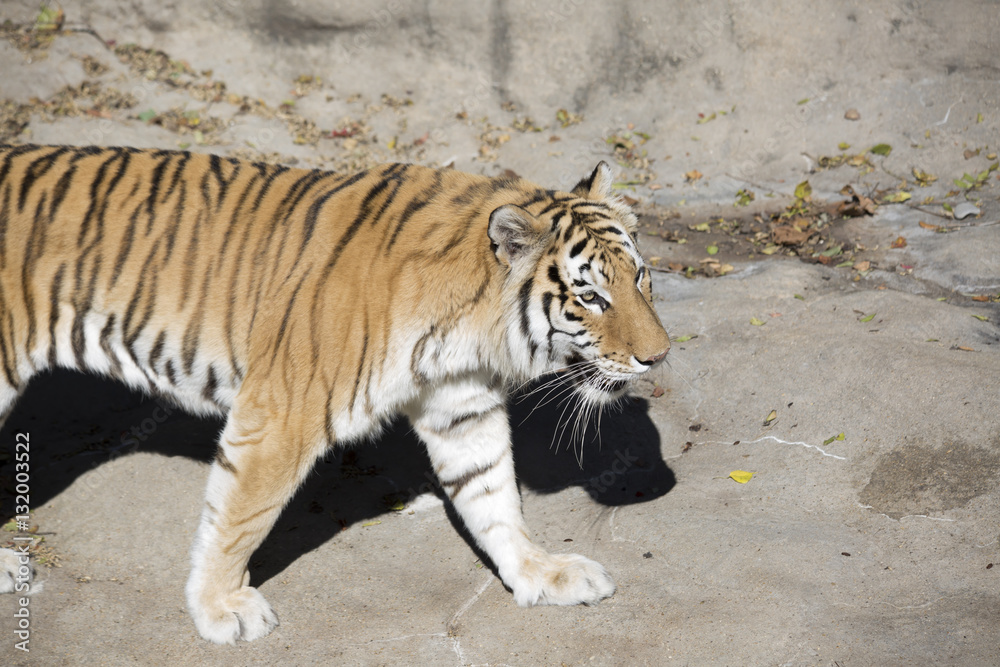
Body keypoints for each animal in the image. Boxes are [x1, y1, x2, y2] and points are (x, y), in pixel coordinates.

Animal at [0, 144, 670, 643]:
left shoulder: (461, 408)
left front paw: (540, 573)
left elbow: (494, 498)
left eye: (640, 276)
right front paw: (220, 609)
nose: (658, 355)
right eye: (590, 297)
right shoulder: (278, 413)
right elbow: (238, 519)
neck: (470, 321)